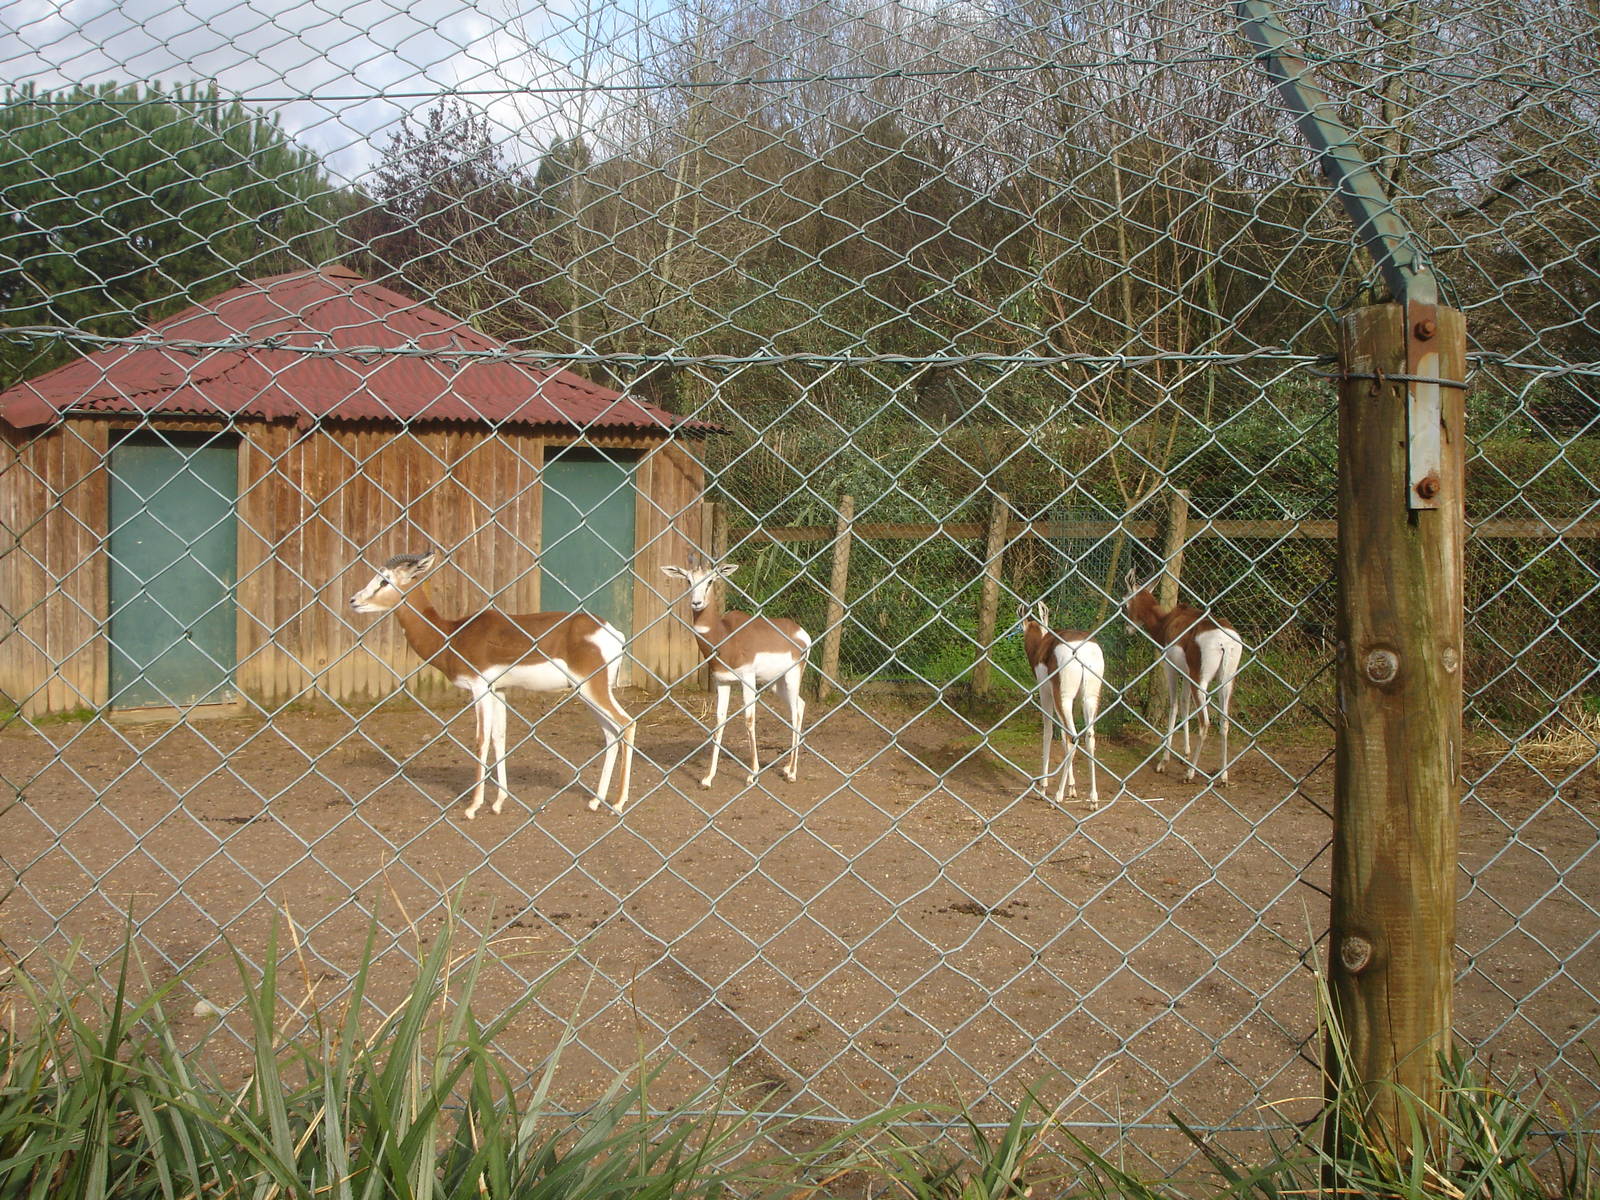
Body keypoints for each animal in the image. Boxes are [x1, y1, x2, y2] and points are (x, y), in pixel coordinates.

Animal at [349, 551, 636, 816]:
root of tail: (613, 632)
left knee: (626, 724)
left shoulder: (479, 687)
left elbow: (481, 739)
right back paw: (596, 801)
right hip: (587, 693)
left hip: (592, 689)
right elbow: (499, 737)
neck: (451, 634)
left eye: (384, 580)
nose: (353, 601)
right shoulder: (499, 690)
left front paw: (473, 806)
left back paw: (618, 803)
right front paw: (498, 802)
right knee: (611, 734)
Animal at [660, 558, 811, 787]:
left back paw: (792, 773)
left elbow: (749, 719)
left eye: (711, 580)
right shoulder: (722, 682)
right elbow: (719, 722)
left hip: (792, 677)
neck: (724, 636)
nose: (697, 603)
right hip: (777, 683)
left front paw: (752, 774)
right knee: (800, 706)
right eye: (688, 580)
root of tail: (801, 633)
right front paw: (708, 778)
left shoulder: (747, 679)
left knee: (794, 712)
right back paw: (786, 767)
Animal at [1016, 601, 1106, 808]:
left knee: (1073, 737)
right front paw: (1072, 788)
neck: (1041, 645)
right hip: (1089, 698)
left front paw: (1042, 789)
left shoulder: (1045, 693)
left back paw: (1056, 796)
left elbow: (1049, 732)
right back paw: (1093, 799)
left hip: (1063, 697)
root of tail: (1082, 652)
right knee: (1088, 737)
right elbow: (1063, 737)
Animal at [1123, 569, 1244, 784]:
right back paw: (1223, 777)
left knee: (1205, 723)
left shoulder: (1170, 668)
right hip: (1226, 682)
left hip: (1201, 682)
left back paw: (1190, 774)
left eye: (1125, 604)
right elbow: (1185, 706)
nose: (1127, 630)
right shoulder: (1185, 674)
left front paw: (1164, 762)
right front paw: (1185, 755)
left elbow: (1174, 705)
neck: (1166, 622)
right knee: (1224, 723)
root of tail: (1225, 642)